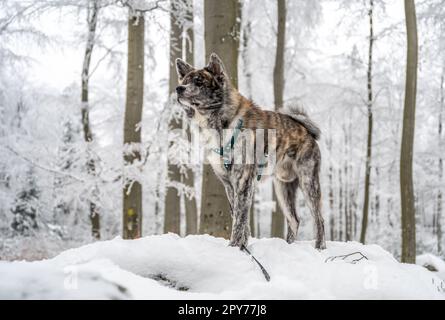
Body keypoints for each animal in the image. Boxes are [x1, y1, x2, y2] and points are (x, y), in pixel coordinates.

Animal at [175, 52, 324, 250]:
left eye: (199, 82)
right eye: (184, 80)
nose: (178, 88)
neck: (221, 123)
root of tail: (306, 130)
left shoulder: (243, 180)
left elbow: (239, 219)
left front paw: (234, 247)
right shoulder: (229, 184)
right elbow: (240, 217)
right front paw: (243, 247)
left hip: (308, 183)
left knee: (319, 219)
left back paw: (320, 247)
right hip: (283, 189)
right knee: (294, 220)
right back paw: (289, 247)